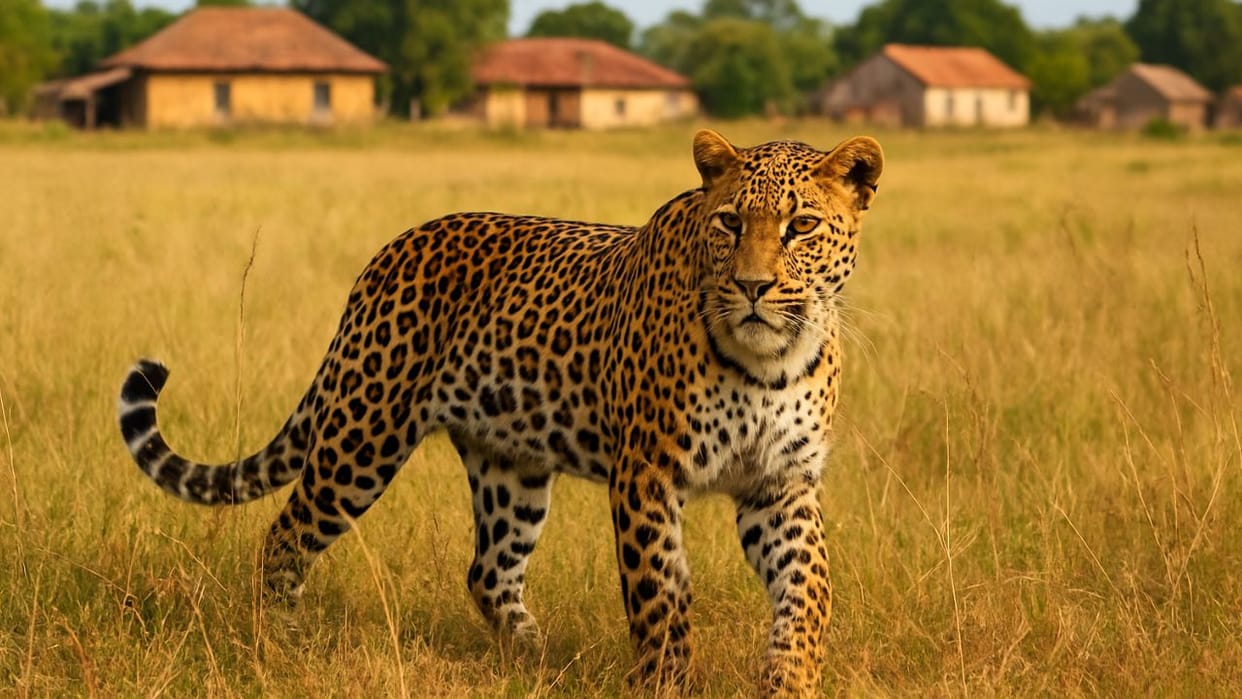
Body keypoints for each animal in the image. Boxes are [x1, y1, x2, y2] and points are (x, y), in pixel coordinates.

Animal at [117, 129, 883, 696]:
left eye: (801, 226)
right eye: (728, 222)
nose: (753, 287)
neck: (772, 358)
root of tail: (388, 252)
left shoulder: (780, 485)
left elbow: (809, 588)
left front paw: (791, 678)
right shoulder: (646, 475)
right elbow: (661, 597)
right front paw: (665, 684)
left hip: (510, 464)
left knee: (488, 570)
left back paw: (538, 658)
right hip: (362, 435)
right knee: (283, 535)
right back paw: (278, 640)